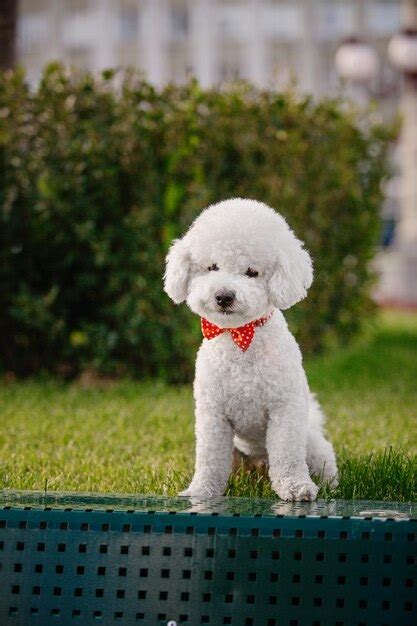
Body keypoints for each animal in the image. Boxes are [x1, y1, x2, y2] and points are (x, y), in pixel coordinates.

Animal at [164, 197, 336, 500]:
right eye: (212, 267)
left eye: (252, 272)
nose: (223, 296)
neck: (239, 340)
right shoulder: (213, 416)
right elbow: (209, 459)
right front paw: (201, 490)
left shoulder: (284, 411)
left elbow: (288, 456)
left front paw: (296, 487)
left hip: (310, 441)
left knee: (322, 459)